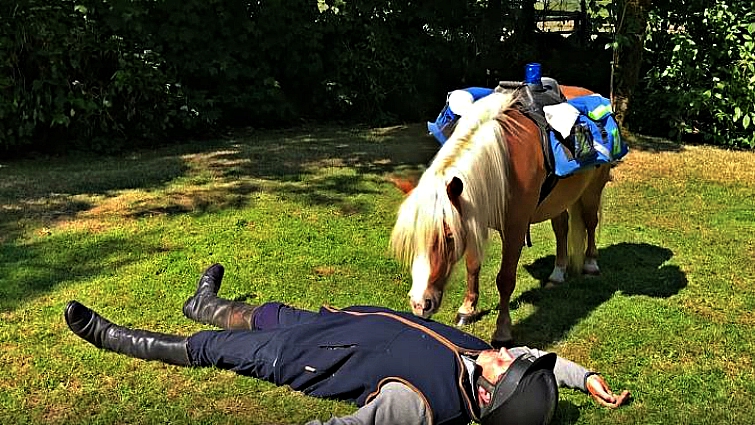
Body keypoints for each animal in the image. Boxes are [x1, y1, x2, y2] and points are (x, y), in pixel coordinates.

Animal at [389, 86, 612, 347]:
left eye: (449, 237)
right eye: (412, 239)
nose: (419, 304)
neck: (504, 163)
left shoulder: (514, 228)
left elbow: (505, 279)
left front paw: (503, 331)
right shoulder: (473, 217)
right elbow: (473, 266)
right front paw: (467, 309)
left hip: (593, 190)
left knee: (590, 222)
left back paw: (590, 264)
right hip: (557, 202)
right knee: (561, 229)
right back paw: (557, 274)